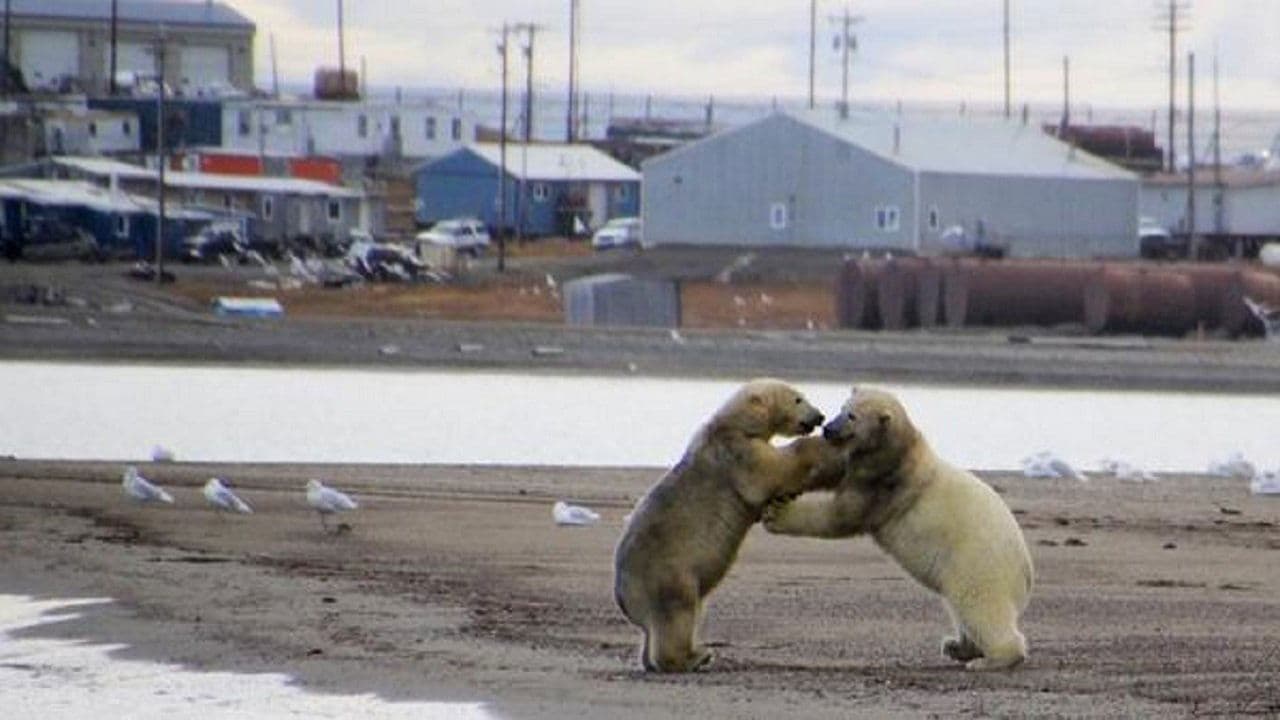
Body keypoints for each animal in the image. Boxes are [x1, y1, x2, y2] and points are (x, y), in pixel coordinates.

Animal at [613, 378, 831, 673]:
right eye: (798, 399)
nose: (820, 416)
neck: (733, 423)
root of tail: (624, 596)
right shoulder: (736, 452)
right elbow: (770, 470)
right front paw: (814, 446)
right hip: (667, 573)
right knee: (678, 612)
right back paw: (695, 656)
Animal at [763, 386, 1034, 671]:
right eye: (843, 407)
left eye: (852, 416)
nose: (828, 429)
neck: (903, 450)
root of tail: (1025, 572)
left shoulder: (884, 486)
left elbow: (839, 515)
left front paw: (777, 513)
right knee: (961, 608)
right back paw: (957, 646)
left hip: (978, 565)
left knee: (979, 606)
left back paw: (991, 659)